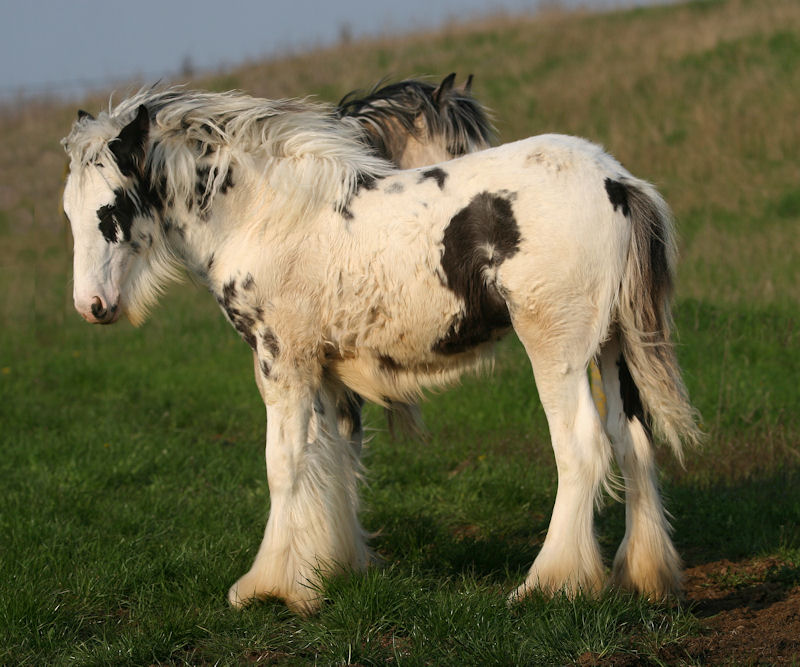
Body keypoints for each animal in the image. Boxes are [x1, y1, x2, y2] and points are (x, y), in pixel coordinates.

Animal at [62, 87, 700, 616]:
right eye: (69, 213)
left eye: (112, 209)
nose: (92, 305)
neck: (266, 216)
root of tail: (618, 183)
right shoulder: (325, 374)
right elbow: (334, 462)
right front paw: (332, 570)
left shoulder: (280, 361)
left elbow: (283, 464)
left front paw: (270, 587)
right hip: (613, 346)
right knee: (633, 442)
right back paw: (641, 579)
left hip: (557, 349)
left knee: (583, 450)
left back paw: (550, 584)